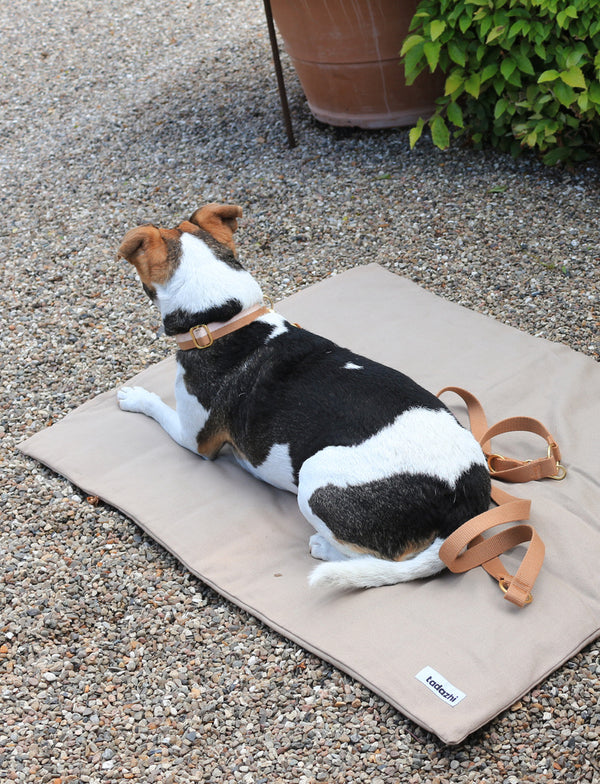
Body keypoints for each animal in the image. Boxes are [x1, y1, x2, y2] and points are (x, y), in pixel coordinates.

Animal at [118, 202, 492, 588]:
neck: (226, 319)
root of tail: (463, 501)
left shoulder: (195, 439)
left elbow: (158, 407)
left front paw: (135, 396)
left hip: (314, 477)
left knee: (379, 557)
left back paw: (325, 549)